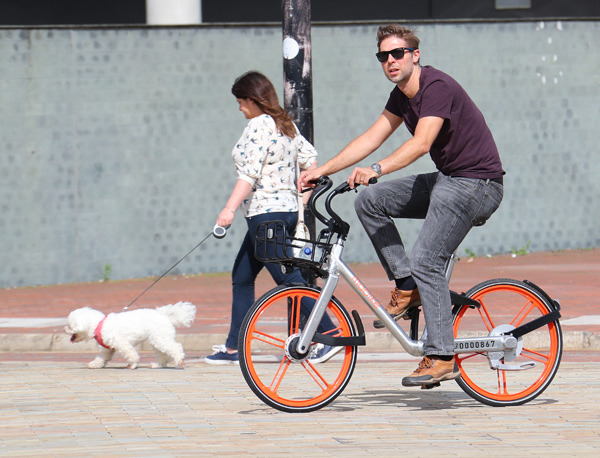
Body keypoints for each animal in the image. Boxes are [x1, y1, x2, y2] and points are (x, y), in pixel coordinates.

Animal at [65, 302, 197, 370]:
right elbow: (102, 358)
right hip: (157, 339)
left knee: (176, 348)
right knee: (163, 355)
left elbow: (131, 354)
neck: (99, 325)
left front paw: (132, 364)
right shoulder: (107, 349)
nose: (65, 329)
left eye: (70, 325)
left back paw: (179, 361)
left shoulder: (122, 343)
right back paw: (157, 365)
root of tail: (163, 315)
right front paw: (95, 364)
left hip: (160, 338)